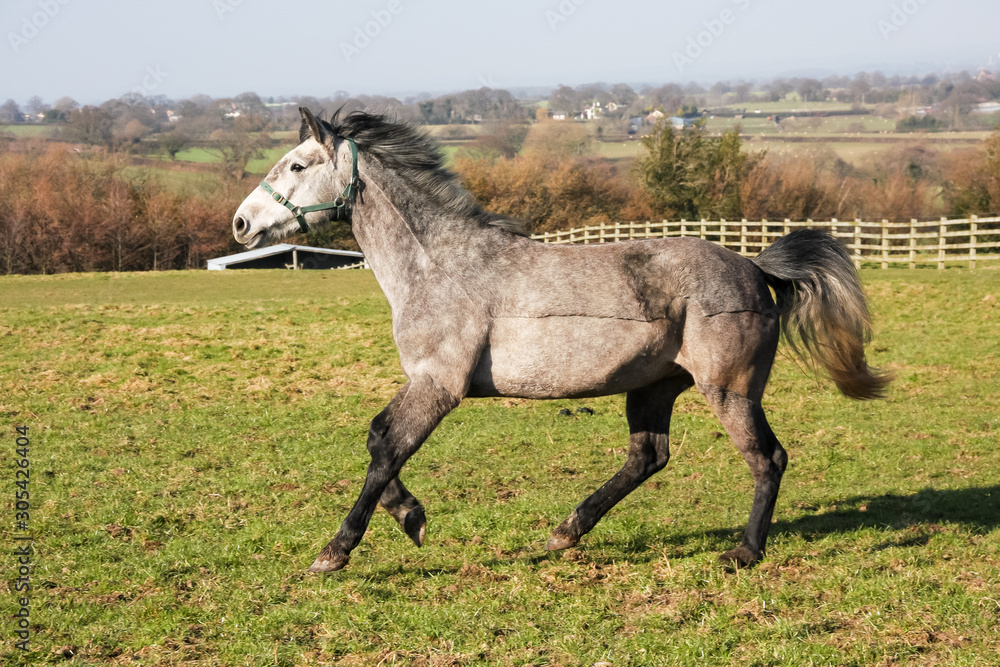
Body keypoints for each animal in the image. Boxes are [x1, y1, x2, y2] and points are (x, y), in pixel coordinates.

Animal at [232, 107, 890, 573]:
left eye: (297, 166)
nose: (241, 224)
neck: (439, 266)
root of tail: (755, 268)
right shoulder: (427, 383)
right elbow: (379, 442)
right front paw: (412, 517)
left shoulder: (438, 384)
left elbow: (385, 448)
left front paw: (336, 550)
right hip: (654, 386)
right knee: (648, 456)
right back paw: (566, 531)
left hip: (729, 391)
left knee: (766, 459)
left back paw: (744, 552)